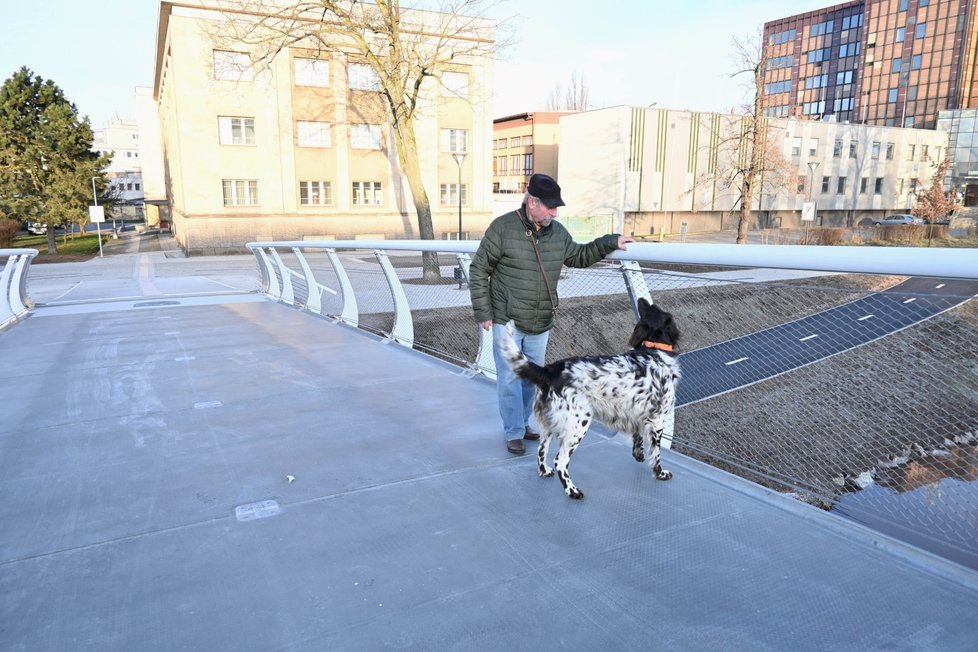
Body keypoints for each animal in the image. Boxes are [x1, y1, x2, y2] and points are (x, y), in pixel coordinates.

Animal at [500, 300, 676, 500]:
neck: (653, 351)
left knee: (541, 450)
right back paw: (572, 490)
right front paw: (660, 473)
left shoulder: (637, 413)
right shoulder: (657, 420)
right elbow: (656, 453)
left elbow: (637, 437)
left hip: (549, 426)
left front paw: (638, 454)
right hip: (578, 425)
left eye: (648, 308)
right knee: (560, 461)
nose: (640, 300)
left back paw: (544, 471)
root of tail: (549, 371)